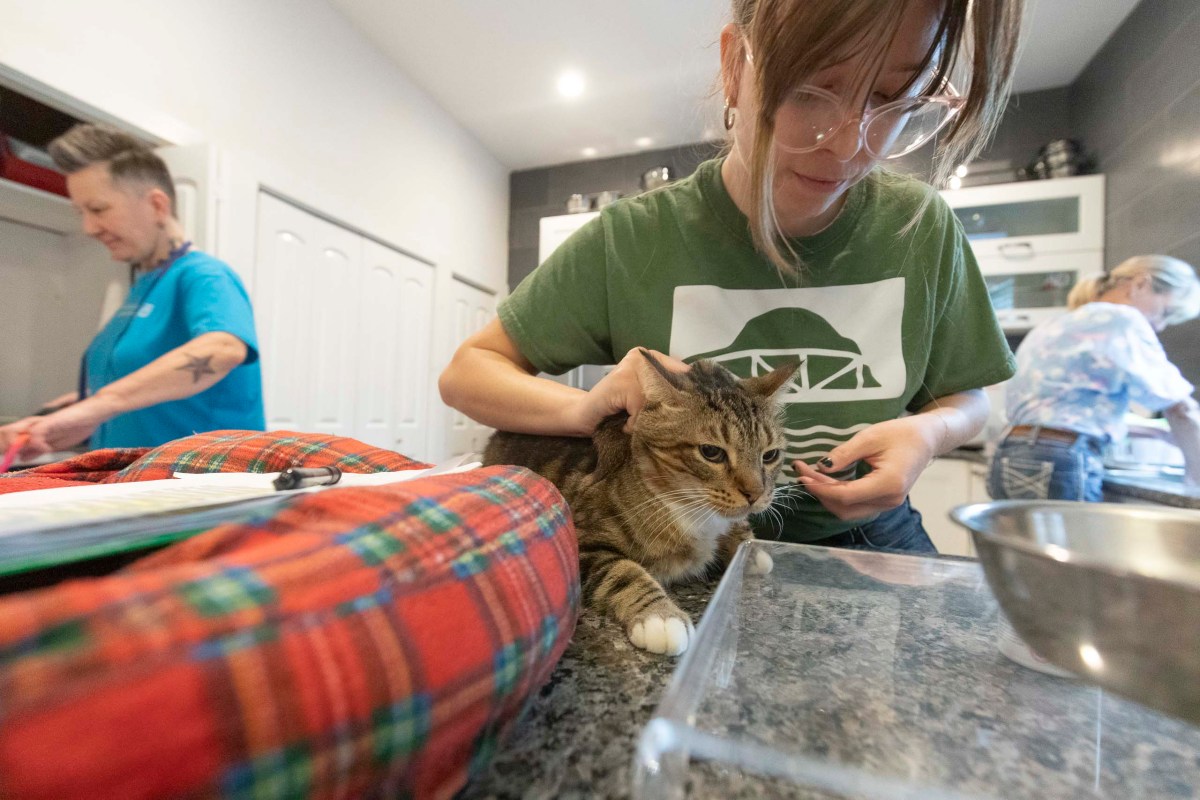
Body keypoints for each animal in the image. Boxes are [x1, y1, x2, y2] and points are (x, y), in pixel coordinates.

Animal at [477, 350, 796, 657]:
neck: (690, 509)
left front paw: (751, 549)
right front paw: (661, 617)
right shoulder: (581, 541)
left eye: (770, 455)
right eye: (711, 452)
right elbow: (622, 572)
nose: (755, 494)